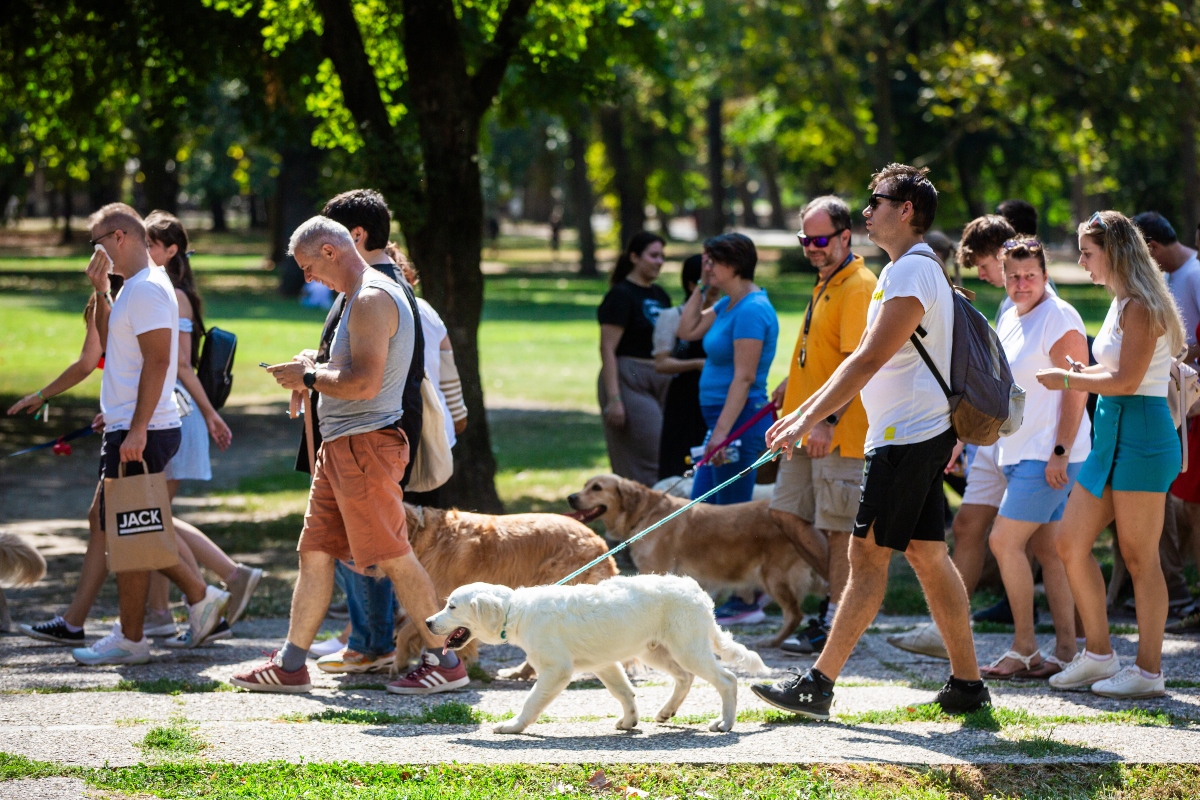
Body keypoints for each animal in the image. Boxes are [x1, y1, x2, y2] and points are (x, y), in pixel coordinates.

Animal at [427, 575, 772, 734]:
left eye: (452, 607)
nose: (429, 622)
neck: (517, 611)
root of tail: (697, 592)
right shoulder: (605, 663)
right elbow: (624, 692)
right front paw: (630, 721)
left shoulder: (556, 670)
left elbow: (531, 702)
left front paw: (513, 726)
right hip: (655, 651)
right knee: (685, 678)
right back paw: (665, 712)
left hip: (688, 648)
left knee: (727, 680)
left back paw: (725, 723)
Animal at [566, 472, 820, 647]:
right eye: (585, 485)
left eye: (597, 488)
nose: (570, 497)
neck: (646, 514)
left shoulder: (655, 569)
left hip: (773, 575)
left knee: (795, 614)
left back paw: (773, 641)